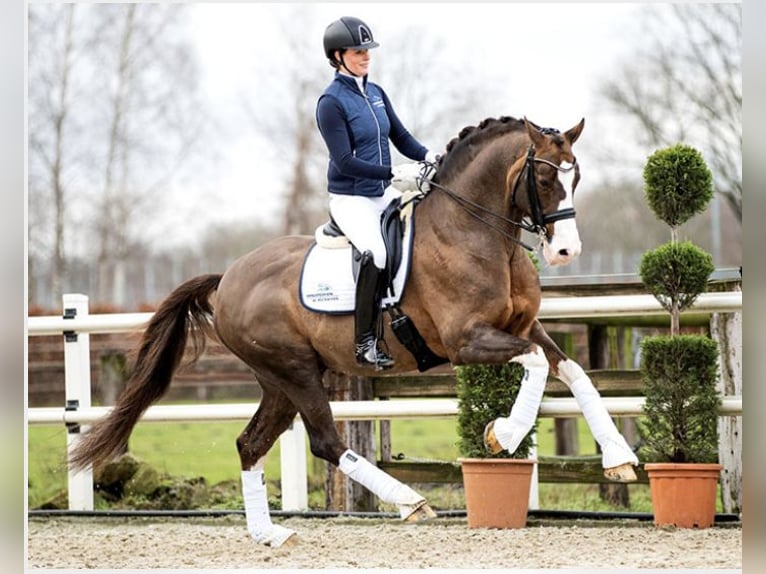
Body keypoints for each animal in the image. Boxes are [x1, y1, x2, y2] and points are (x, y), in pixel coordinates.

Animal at [69, 117, 640, 548]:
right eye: (544, 181)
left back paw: (270, 535)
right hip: (297, 371)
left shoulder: (523, 327)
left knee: (250, 443)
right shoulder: (467, 341)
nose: (565, 251)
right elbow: (539, 367)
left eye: (575, 177)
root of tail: (227, 278)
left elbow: (573, 372)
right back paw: (410, 502)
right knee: (324, 440)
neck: (476, 233)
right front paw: (503, 434)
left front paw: (618, 459)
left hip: (280, 380)